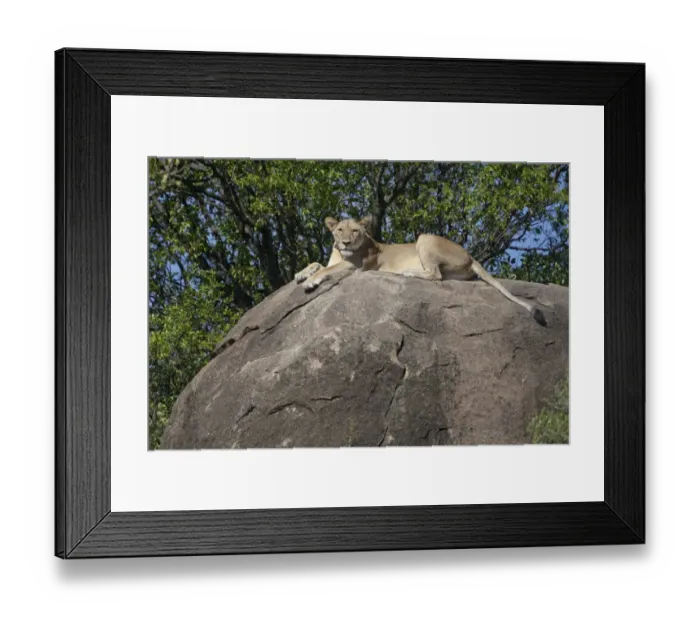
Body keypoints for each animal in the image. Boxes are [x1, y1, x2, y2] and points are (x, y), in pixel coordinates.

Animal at [294, 216, 547, 327]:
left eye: (355, 231)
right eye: (339, 230)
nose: (345, 242)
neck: (341, 252)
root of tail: (470, 254)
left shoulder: (355, 266)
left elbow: (329, 269)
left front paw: (310, 281)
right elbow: (317, 263)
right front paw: (301, 273)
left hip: (425, 238)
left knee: (435, 274)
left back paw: (406, 273)